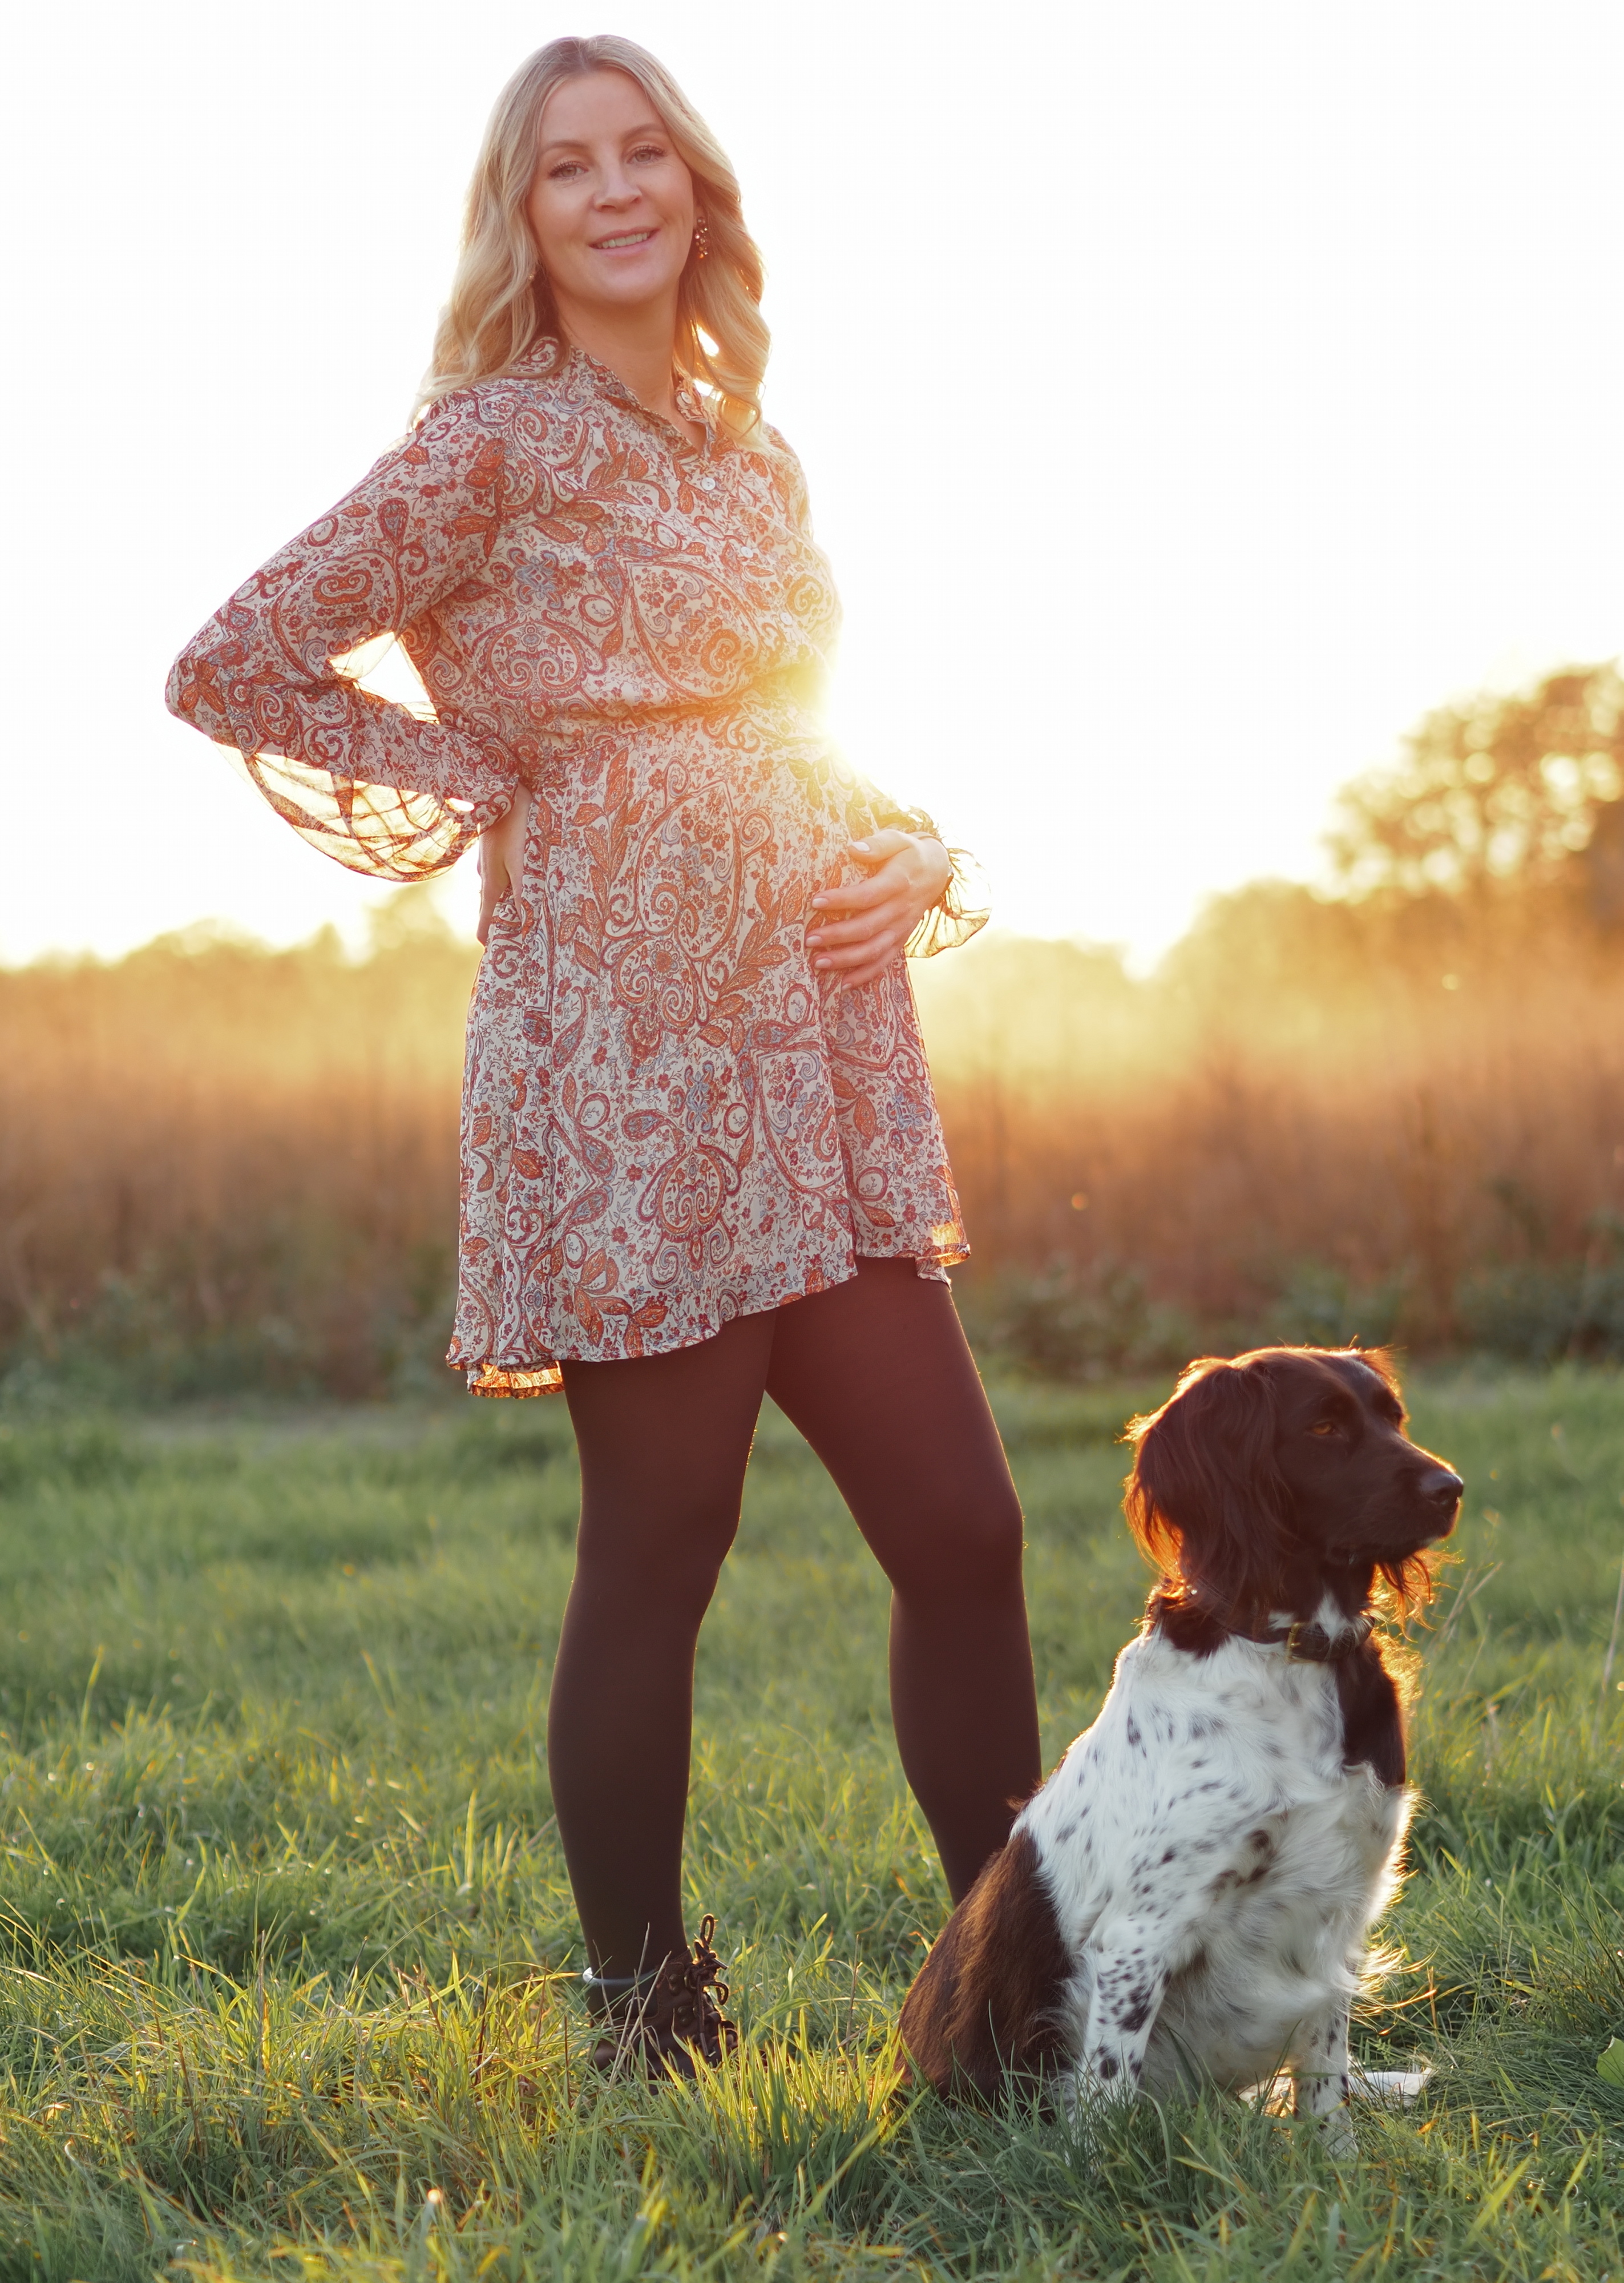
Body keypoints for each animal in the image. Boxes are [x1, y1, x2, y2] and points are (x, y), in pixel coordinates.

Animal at [899, 1345, 1460, 2148]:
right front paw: (1098, 2176)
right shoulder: (1137, 1937)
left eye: (1393, 1417)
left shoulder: (1335, 1915)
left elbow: (1325, 2085)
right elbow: (1106, 2100)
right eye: (1322, 1427)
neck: (1287, 1651)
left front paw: (1337, 2167)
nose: (1451, 1488)